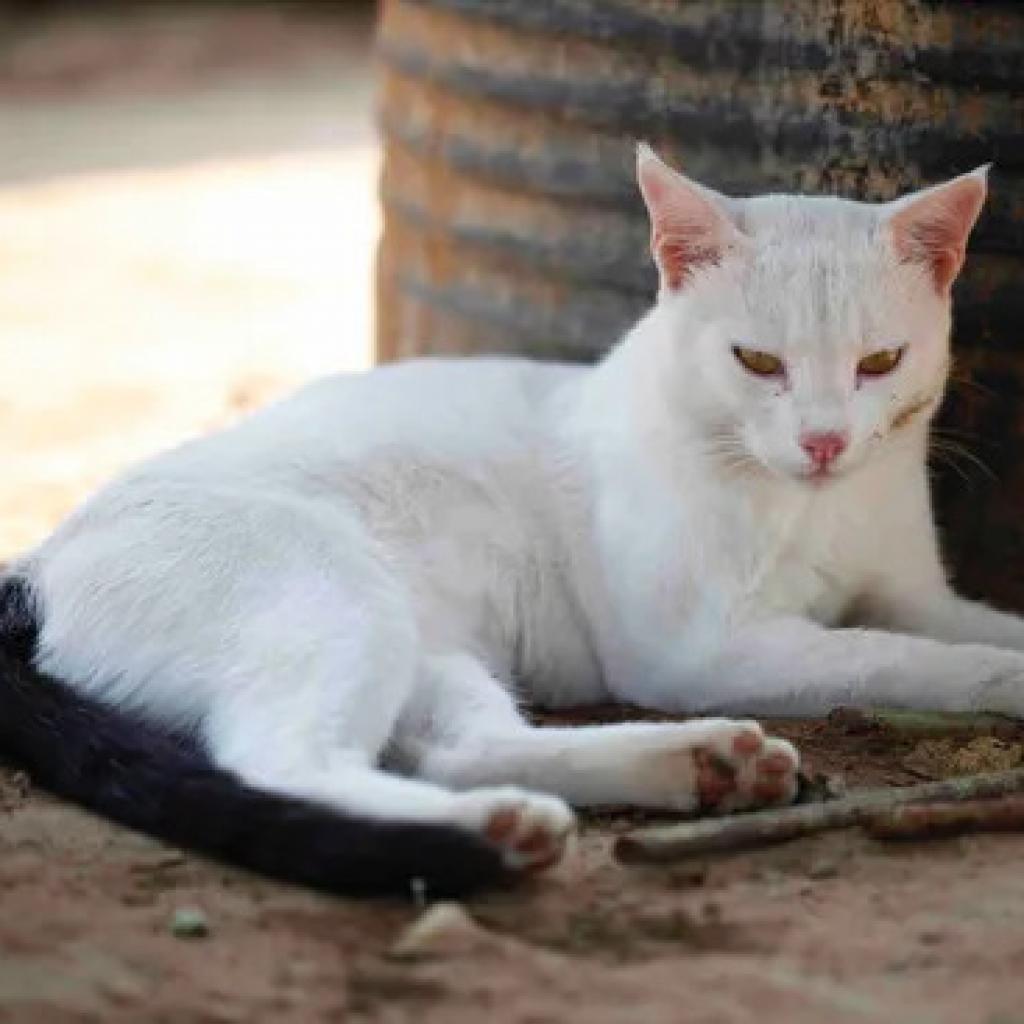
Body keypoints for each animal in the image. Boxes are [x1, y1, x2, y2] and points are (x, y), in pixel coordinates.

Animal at [4, 146, 1019, 897]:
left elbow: (949, 626)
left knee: (461, 749)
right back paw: (488, 834)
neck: (814, 507)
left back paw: (687, 769)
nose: (823, 440)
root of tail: (35, 564)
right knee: (279, 762)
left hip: (431, 649)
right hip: (336, 591)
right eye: (758, 362)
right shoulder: (696, 651)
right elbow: (889, 657)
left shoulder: (912, 590)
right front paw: (1000, 678)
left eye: (880, 362)